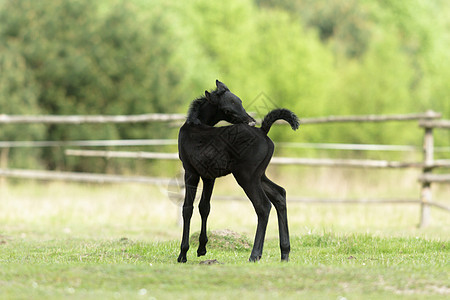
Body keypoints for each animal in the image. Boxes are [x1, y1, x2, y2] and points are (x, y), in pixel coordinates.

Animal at [177, 80, 298, 262]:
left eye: (240, 102)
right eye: (227, 109)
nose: (251, 121)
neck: (194, 125)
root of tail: (263, 130)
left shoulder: (190, 171)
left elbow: (187, 208)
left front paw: (183, 254)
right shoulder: (209, 176)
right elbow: (204, 207)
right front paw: (202, 249)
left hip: (246, 176)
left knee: (263, 206)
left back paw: (255, 254)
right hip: (259, 175)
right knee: (279, 194)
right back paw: (285, 253)